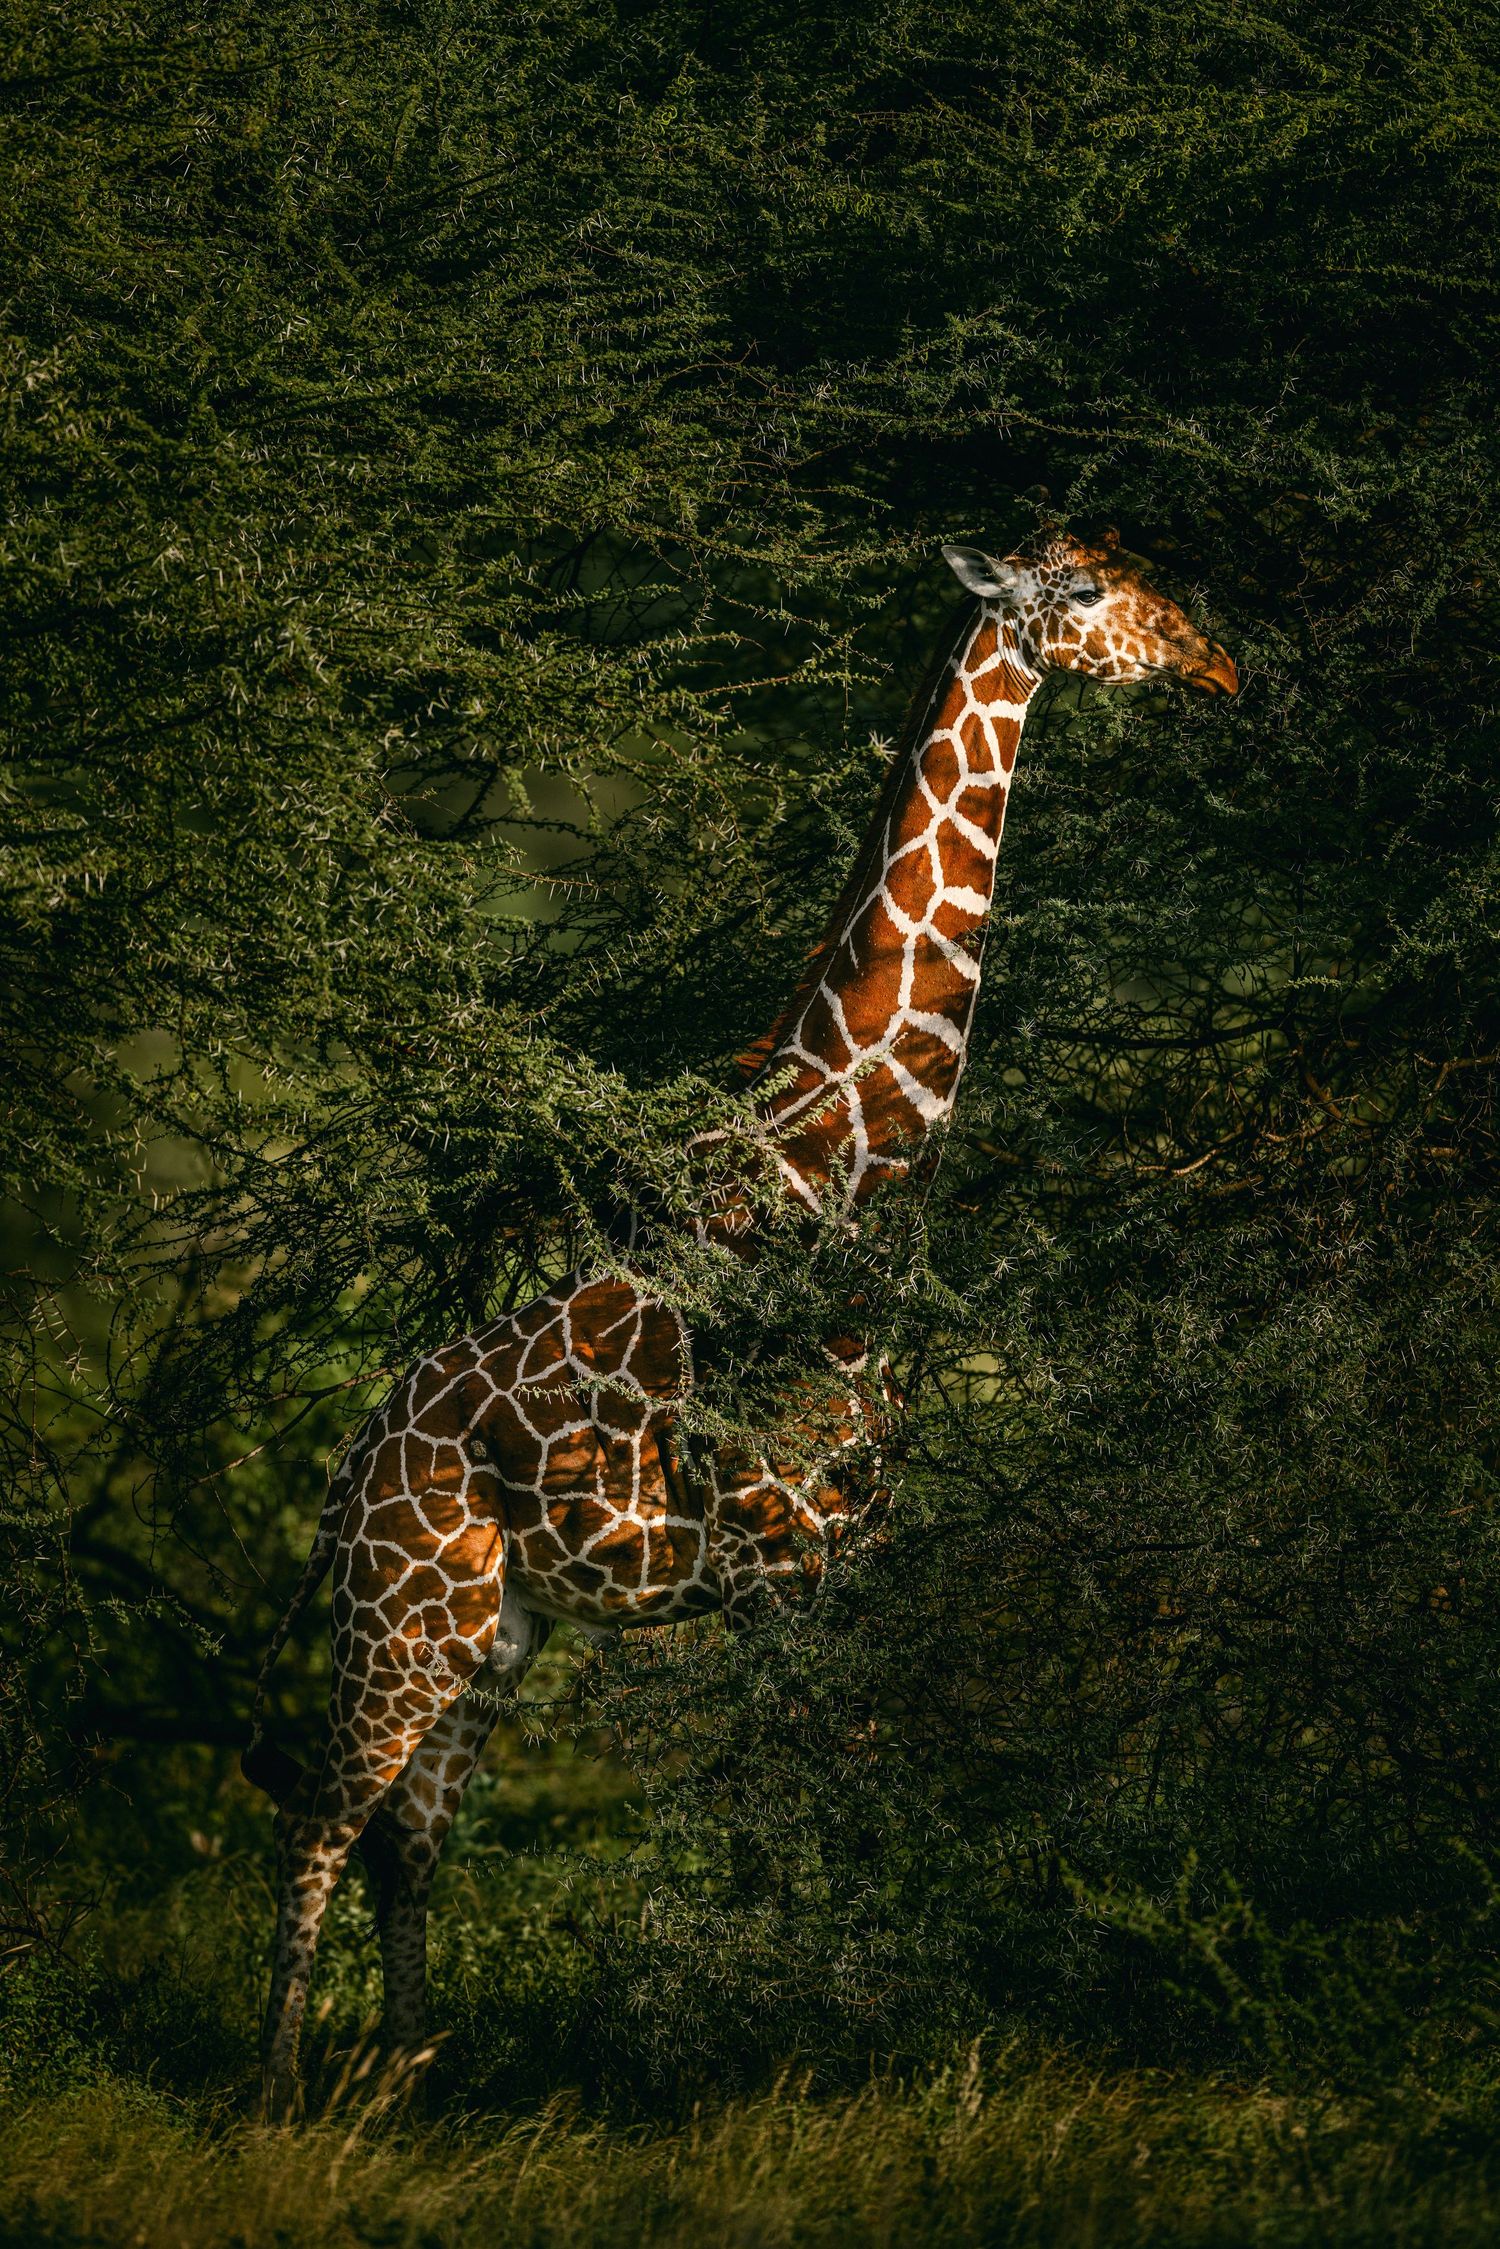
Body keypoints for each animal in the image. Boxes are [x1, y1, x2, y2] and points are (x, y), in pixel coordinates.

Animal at [243, 528, 1238, 2112]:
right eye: (1080, 594)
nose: (1220, 664)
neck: (847, 1171)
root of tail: (349, 1475)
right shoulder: (778, 1558)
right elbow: (789, 1817)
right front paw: (786, 2068)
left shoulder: (850, 1548)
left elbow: (847, 1803)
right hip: (398, 1622)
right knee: (321, 1825)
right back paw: (281, 2092)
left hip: (494, 1633)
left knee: (412, 1836)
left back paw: (408, 2079)